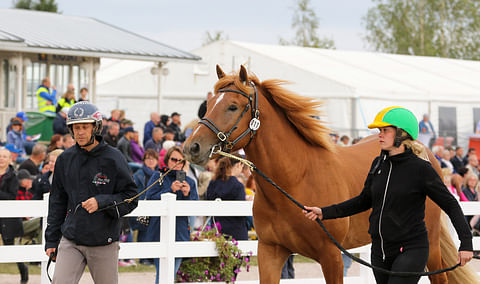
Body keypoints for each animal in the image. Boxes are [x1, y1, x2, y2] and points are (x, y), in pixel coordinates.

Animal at [183, 65, 476, 282]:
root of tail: (426, 154)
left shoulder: (331, 256)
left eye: (232, 106)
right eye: (208, 103)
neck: (296, 179)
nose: (191, 147)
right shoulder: (270, 253)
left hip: (430, 249)